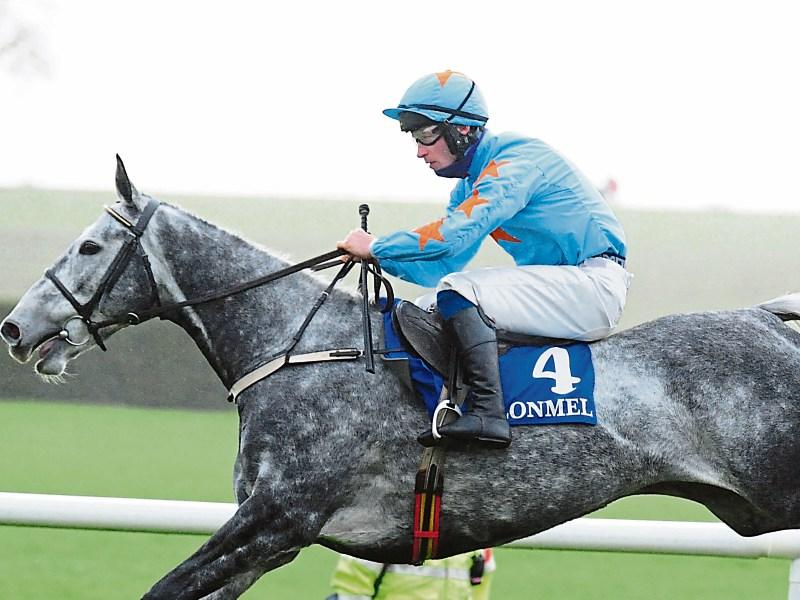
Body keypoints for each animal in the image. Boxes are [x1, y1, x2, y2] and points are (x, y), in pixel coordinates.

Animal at [4, 158, 800, 599]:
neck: (300, 348)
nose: (15, 328)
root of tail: (769, 320)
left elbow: (164, 588)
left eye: (90, 246)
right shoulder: (272, 539)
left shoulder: (278, 517)